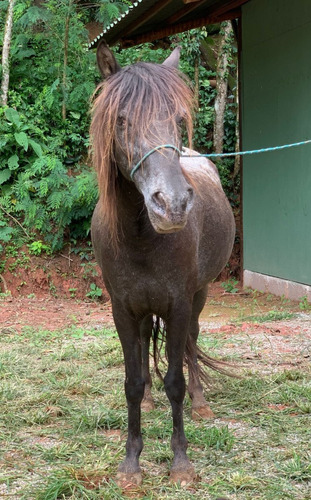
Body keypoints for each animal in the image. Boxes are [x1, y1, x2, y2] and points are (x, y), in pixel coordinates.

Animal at [91, 41, 236, 486]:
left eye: (176, 118)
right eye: (122, 120)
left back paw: (201, 402)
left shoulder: (178, 305)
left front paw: (181, 462)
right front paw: (131, 463)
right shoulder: (122, 309)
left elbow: (175, 379)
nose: (171, 204)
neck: (141, 239)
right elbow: (133, 382)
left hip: (199, 296)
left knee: (192, 341)